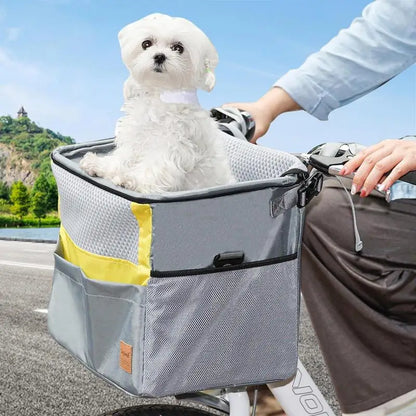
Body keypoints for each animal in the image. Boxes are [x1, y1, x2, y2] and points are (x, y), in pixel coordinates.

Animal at [80, 13, 236, 194]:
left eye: (178, 48)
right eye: (146, 43)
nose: (159, 56)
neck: (159, 94)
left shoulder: (172, 145)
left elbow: (155, 166)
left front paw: (132, 179)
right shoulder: (136, 135)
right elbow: (123, 156)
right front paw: (101, 165)